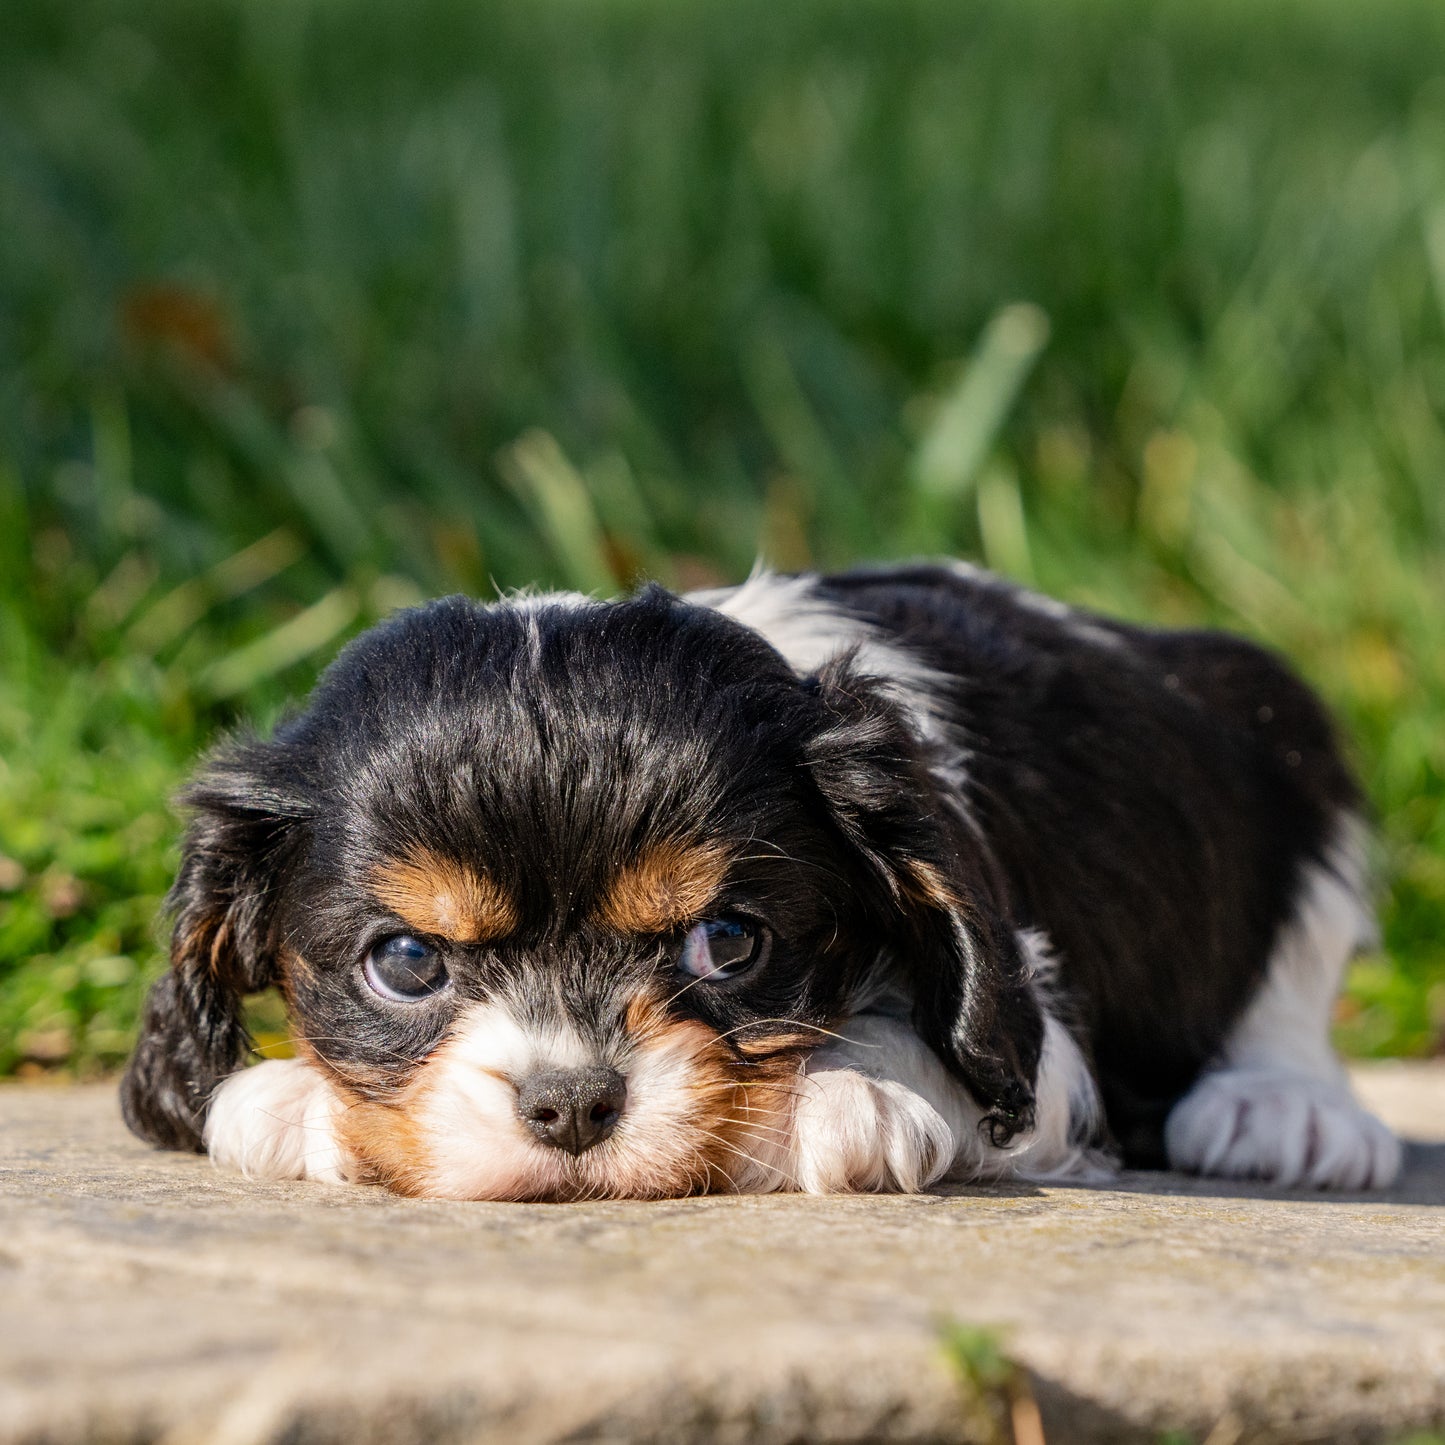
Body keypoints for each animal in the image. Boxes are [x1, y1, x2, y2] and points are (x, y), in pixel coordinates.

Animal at [118, 560, 1404, 1196]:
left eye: (727, 943)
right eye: (403, 961)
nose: (570, 1103)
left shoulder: (1036, 1034)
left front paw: (853, 1092)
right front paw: (289, 1096)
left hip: (1279, 728)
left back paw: (1281, 1108)